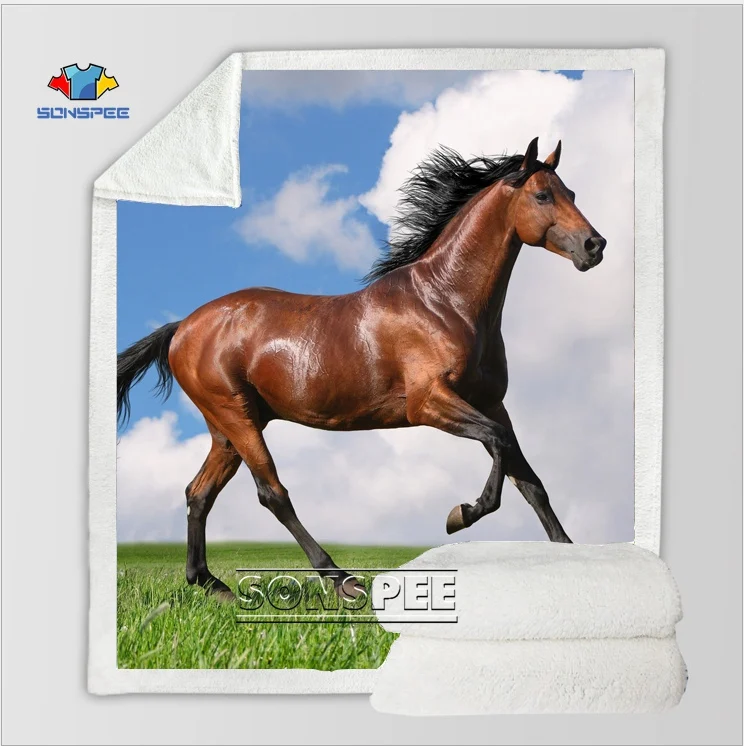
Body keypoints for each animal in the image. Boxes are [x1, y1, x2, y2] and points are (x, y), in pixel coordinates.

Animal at [117, 137, 606, 601]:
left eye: (571, 192)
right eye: (542, 195)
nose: (594, 246)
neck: (445, 302)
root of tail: (183, 327)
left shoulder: (491, 403)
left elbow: (530, 481)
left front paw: (573, 558)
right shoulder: (429, 403)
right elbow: (499, 445)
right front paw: (460, 515)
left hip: (229, 429)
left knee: (198, 493)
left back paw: (210, 583)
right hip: (236, 417)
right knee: (272, 493)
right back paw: (340, 579)